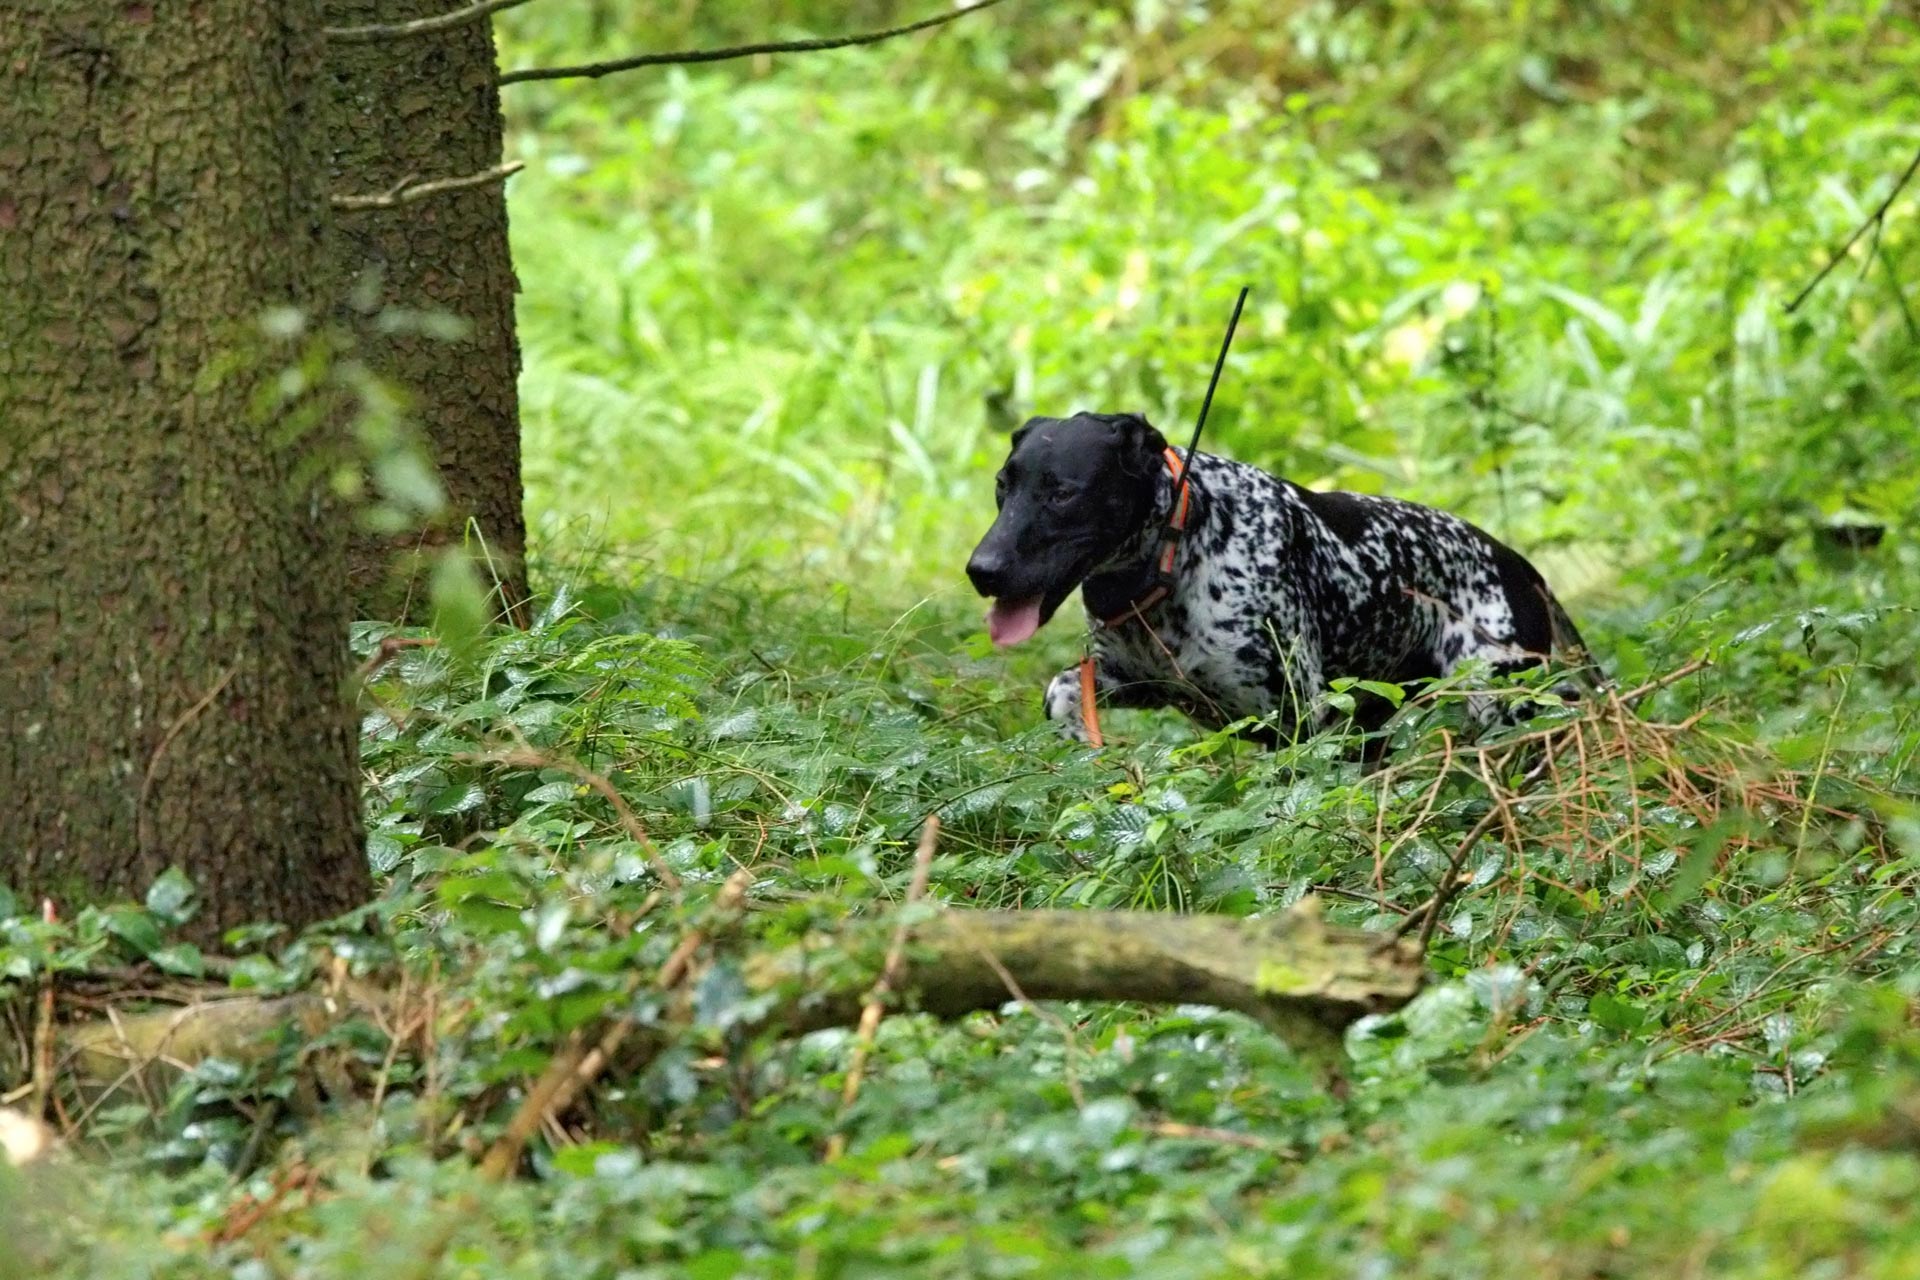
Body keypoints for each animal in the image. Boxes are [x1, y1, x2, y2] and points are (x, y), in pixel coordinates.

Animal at [967, 410, 1597, 752]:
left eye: (1062, 492)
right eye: (1003, 484)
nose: (981, 569)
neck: (1182, 550)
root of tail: (1518, 564)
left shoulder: (1296, 720)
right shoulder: (1140, 681)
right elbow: (1063, 691)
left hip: (1499, 704)